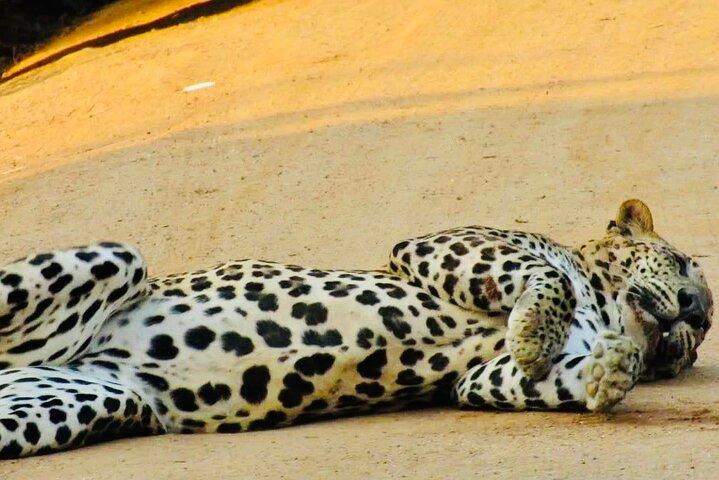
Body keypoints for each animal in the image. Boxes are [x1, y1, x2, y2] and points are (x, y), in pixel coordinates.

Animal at [0, 199, 711, 458]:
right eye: (683, 263)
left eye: (697, 339)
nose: (695, 313)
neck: (606, 304)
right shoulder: (438, 246)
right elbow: (543, 276)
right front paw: (536, 330)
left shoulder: (476, 379)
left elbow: (537, 375)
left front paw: (610, 371)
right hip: (118, 258)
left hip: (75, 403)